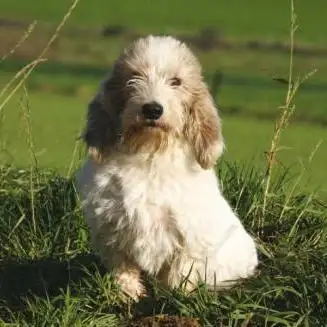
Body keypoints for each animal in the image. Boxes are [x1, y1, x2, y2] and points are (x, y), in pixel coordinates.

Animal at [77, 35, 258, 300]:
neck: (149, 153)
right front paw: (127, 294)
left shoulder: (189, 235)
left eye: (176, 82)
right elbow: (123, 268)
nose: (152, 109)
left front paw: (175, 295)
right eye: (134, 77)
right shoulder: (113, 231)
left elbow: (180, 272)